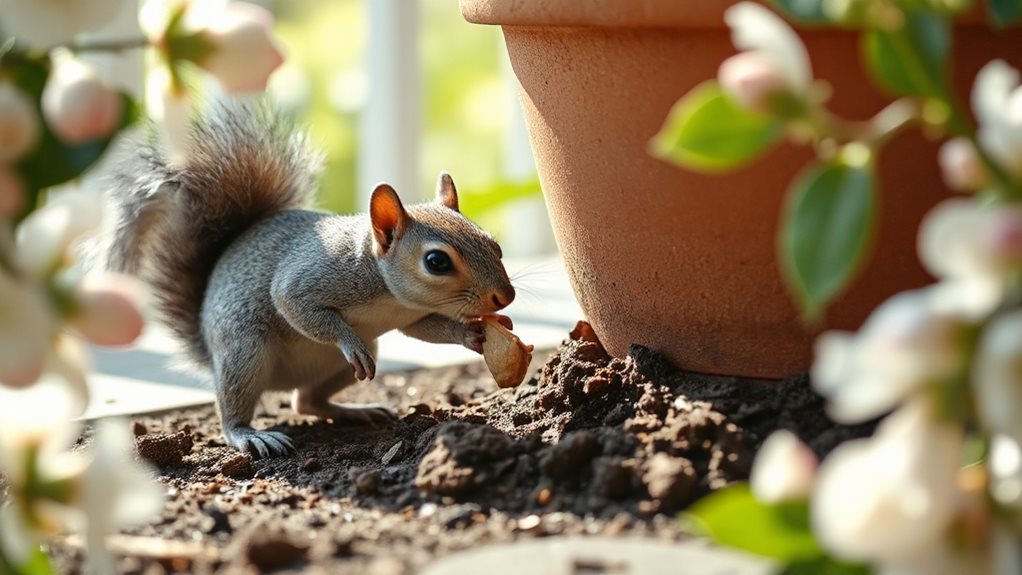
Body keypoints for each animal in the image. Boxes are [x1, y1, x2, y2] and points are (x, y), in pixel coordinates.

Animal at [103, 105, 516, 458]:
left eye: (493, 244)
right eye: (436, 261)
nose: (505, 296)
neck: (389, 292)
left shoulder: (412, 315)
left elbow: (427, 329)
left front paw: (472, 334)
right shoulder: (315, 275)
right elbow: (292, 302)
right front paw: (349, 340)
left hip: (334, 367)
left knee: (306, 401)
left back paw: (355, 410)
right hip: (245, 351)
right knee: (236, 408)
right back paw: (249, 434)